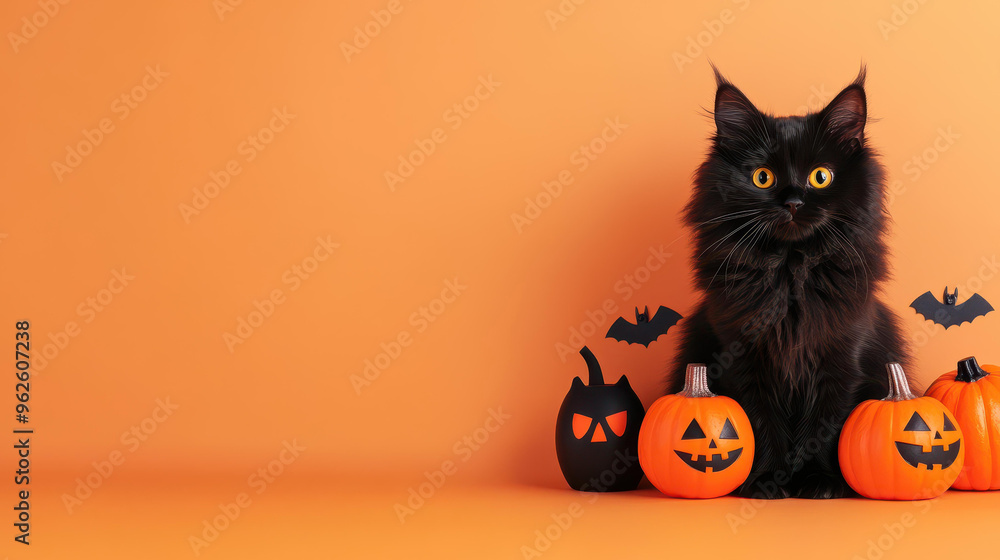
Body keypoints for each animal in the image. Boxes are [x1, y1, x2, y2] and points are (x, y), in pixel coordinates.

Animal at [668, 68, 912, 500]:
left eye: (821, 176)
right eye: (762, 177)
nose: (794, 202)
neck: (790, 273)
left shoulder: (840, 356)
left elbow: (823, 428)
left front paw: (818, 481)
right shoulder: (743, 357)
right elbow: (761, 424)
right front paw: (768, 480)